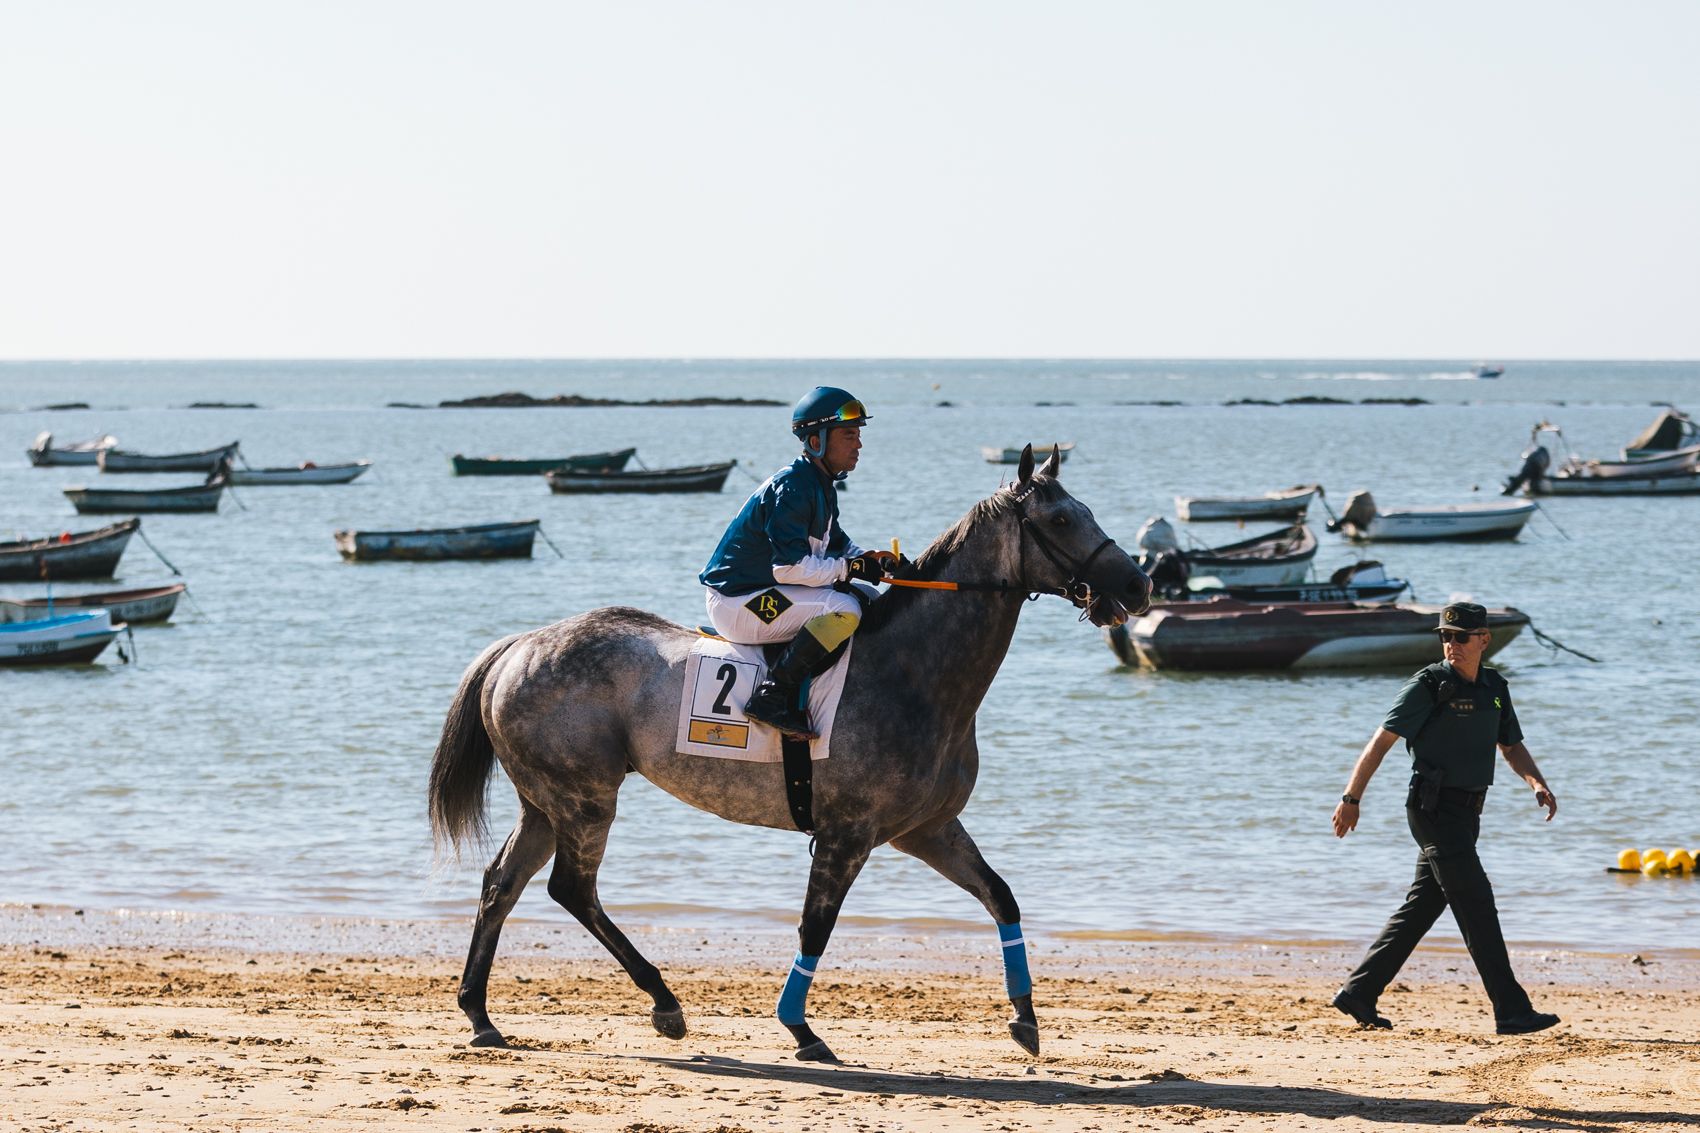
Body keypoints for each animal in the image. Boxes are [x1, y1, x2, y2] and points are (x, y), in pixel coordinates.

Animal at [428, 445, 1151, 1061]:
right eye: (1061, 518)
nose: (1139, 585)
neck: (915, 673)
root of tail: (519, 645)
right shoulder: (847, 834)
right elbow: (814, 928)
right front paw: (801, 1029)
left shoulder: (928, 828)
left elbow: (1002, 897)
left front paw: (1025, 1015)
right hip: (583, 800)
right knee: (572, 889)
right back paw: (663, 1001)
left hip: (545, 803)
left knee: (502, 883)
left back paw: (480, 1013)